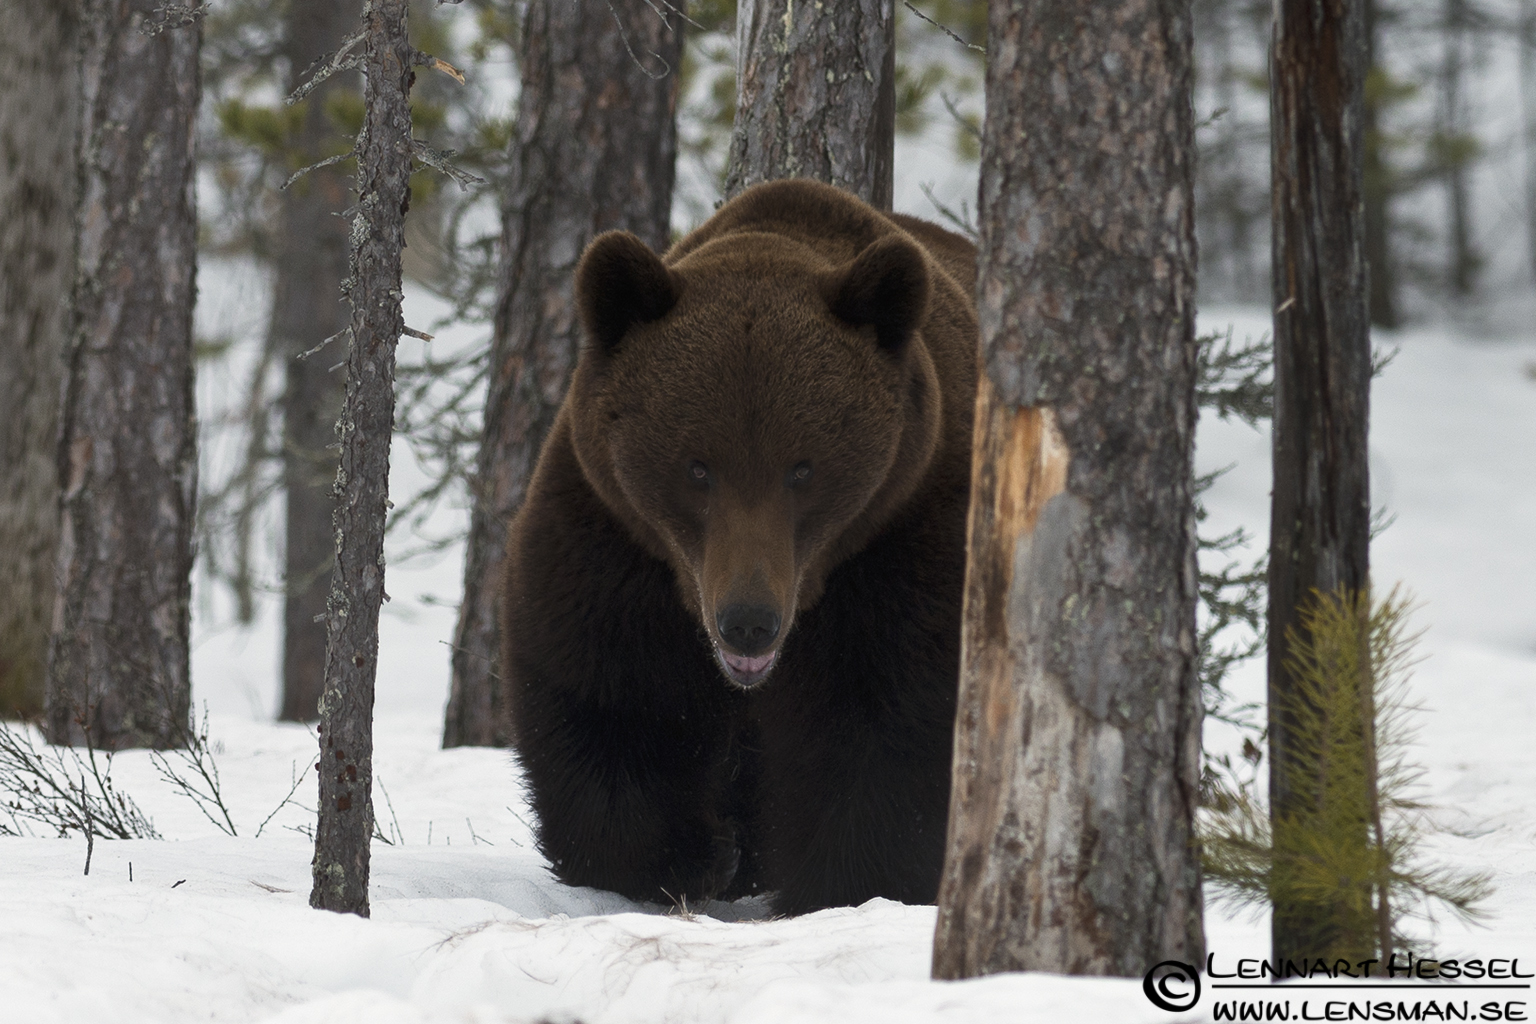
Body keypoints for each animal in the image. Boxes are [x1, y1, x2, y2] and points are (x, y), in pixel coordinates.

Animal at [499, 178, 978, 916]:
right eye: (697, 467)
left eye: (802, 468)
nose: (749, 621)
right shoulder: (615, 538)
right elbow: (609, 697)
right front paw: (693, 855)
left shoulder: (905, 534)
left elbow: (890, 725)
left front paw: (844, 886)